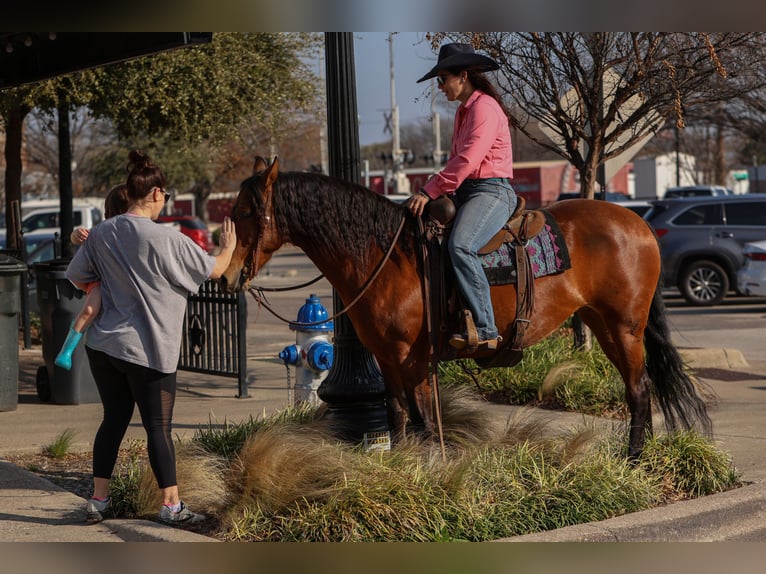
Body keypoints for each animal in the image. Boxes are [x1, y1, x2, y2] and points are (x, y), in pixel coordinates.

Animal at [222, 156, 712, 460]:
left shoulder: (413, 357)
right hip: (601, 322)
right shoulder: (386, 357)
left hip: (625, 326)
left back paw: (634, 458)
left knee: (639, 388)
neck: (386, 256)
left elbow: (423, 418)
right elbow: (398, 414)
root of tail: (638, 222)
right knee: (639, 386)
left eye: (246, 211)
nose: (228, 277)